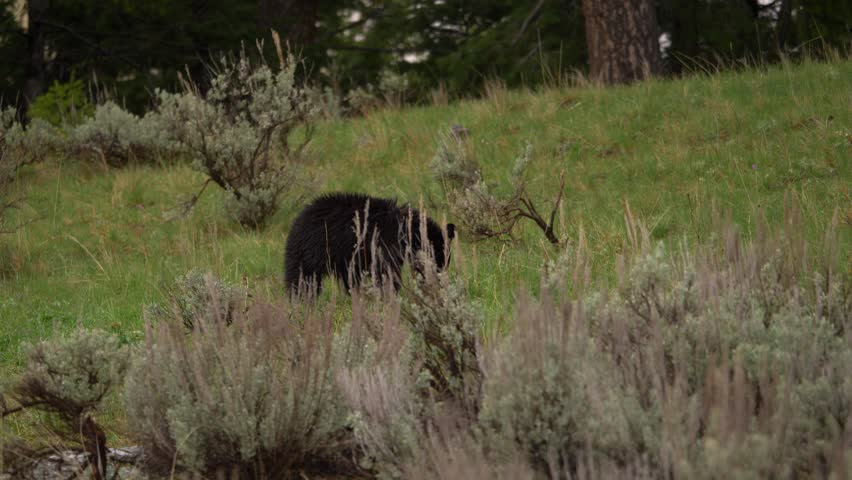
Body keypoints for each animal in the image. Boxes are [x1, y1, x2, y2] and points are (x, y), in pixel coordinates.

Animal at [284, 192, 455, 295]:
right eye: (439, 258)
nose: (439, 281)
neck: (406, 230)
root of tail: (295, 224)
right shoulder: (385, 244)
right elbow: (387, 271)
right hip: (311, 252)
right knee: (302, 279)